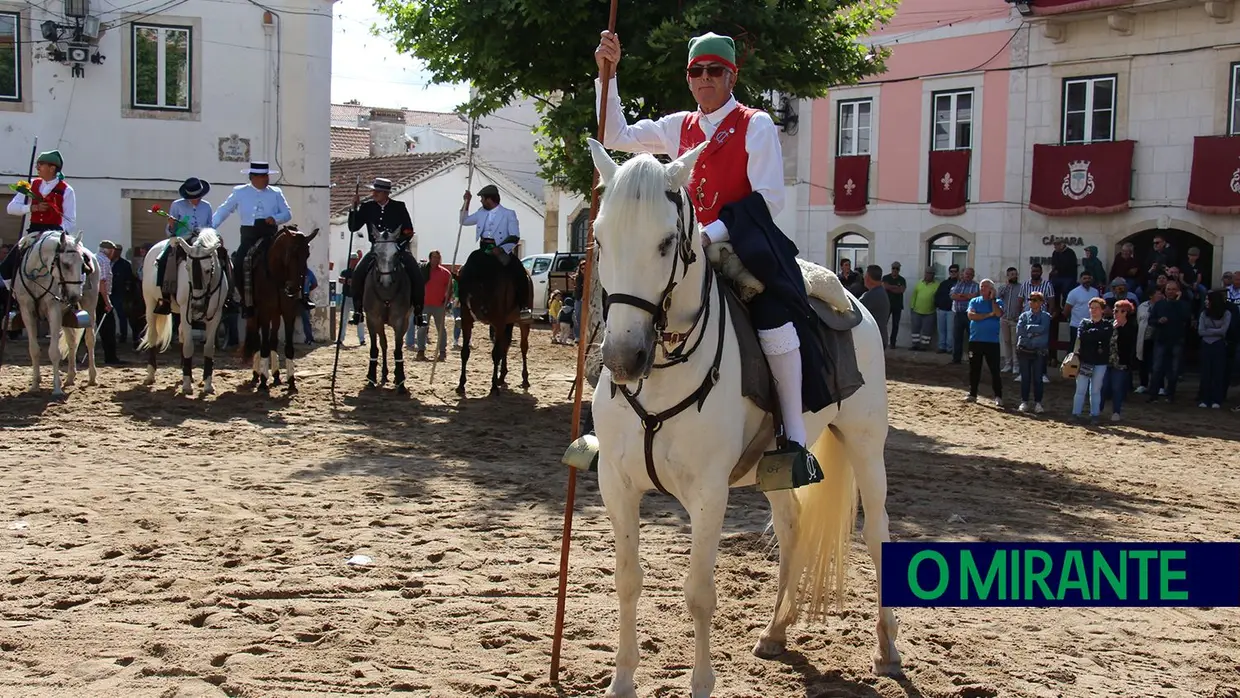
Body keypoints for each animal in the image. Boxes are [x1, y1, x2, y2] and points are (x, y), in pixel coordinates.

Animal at [9, 230, 97, 399]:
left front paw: (56, 389)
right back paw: (70, 378)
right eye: (66, 264)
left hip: (90, 306)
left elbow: (54, 352)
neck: (36, 274)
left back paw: (92, 377)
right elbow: (34, 349)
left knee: (90, 340)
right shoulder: (27, 312)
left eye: (83, 266)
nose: (75, 297)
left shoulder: (54, 311)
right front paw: (35, 385)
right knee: (72, 342)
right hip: (66, 315)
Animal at [138, 228, 230, 394]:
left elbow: (209, 348)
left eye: (208, 270)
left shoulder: (216, 315)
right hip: (151, 304)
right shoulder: (186, 310)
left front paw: (207, 384)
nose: (197, 306)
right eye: (187, 268)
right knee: (154, 336)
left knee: (181, 333)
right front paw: (187, 385)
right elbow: (188, 345)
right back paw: (150, 375)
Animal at [243, 223, 319, 391]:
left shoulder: (288, 313)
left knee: (273, 340)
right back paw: (257, 374)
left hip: (276, 315)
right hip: (254, 314)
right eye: (290, 253)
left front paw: (291, 381)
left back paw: (276, 375)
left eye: (308, 254)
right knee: (257, 339)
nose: (293, 288)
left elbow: (288, 347)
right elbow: (263, 345)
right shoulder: (264, 312)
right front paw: (263, 381)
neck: (277, 277)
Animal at [456, 247, 533, 396]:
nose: (479, 313)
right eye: (462, 293)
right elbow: (465, 352)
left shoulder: (499, 323)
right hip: (508, 322)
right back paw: (501, 376)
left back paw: (525, 379)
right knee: (506, 344)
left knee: (523, 347)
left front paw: (493, 387)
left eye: (479, 288)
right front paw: (461, 385)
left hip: (523, 323)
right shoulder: (467, 322)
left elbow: (496, 353)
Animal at [582, 138, 902, 698]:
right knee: (792, 526)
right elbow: (626, 579)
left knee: (877, 536)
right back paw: (775, 631)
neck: (664, 371)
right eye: (599, 238)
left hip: (866, 445)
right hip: (778, 468)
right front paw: (621, 680)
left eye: (667, 242)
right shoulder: (616, 485)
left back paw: (886, 648)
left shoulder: (708, 495)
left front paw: (701, 683)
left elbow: (699, 592)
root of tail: (853, 300)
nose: (622, 359)